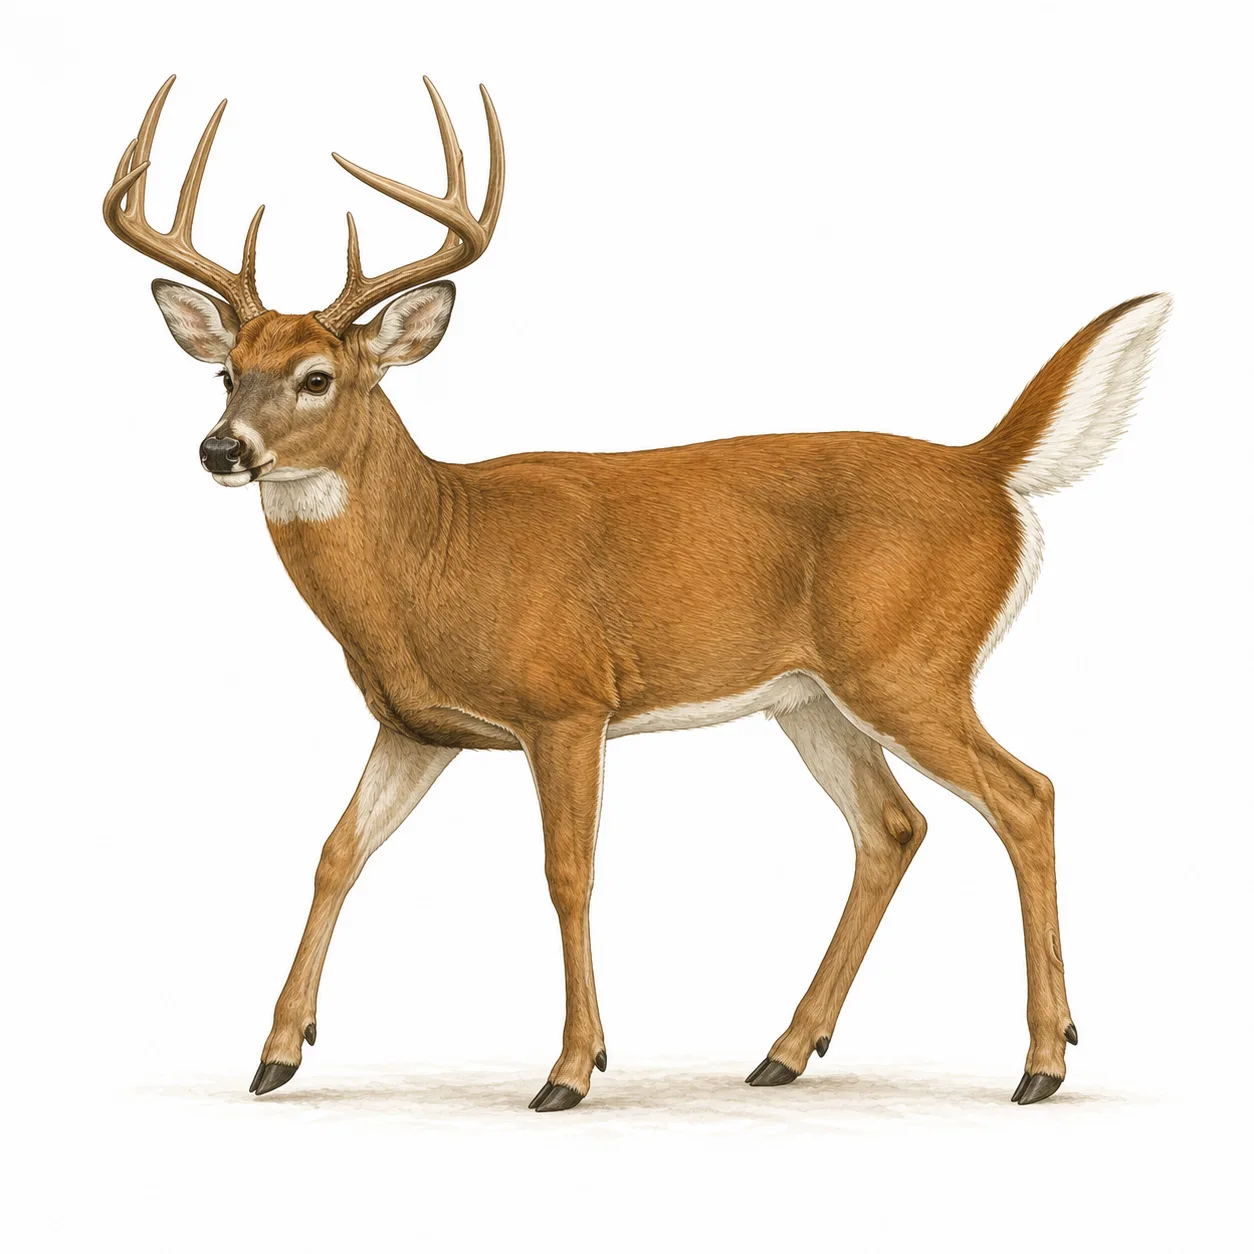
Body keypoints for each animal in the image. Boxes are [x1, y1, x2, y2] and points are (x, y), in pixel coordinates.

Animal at [104, 74, 1170, 1112]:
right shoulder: (415, 725)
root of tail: (986, 466)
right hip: (812, 697)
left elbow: (567, 873)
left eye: (317, 376)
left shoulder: (568, 704)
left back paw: (1042, 1062)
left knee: (1026, 795)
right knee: (893, 827)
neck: (438, 554)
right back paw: (786, 1051)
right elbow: (335, 852)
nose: (220, 449)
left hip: (909, 665)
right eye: (225, 372)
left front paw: (572, 1069)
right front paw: (277, 1055)